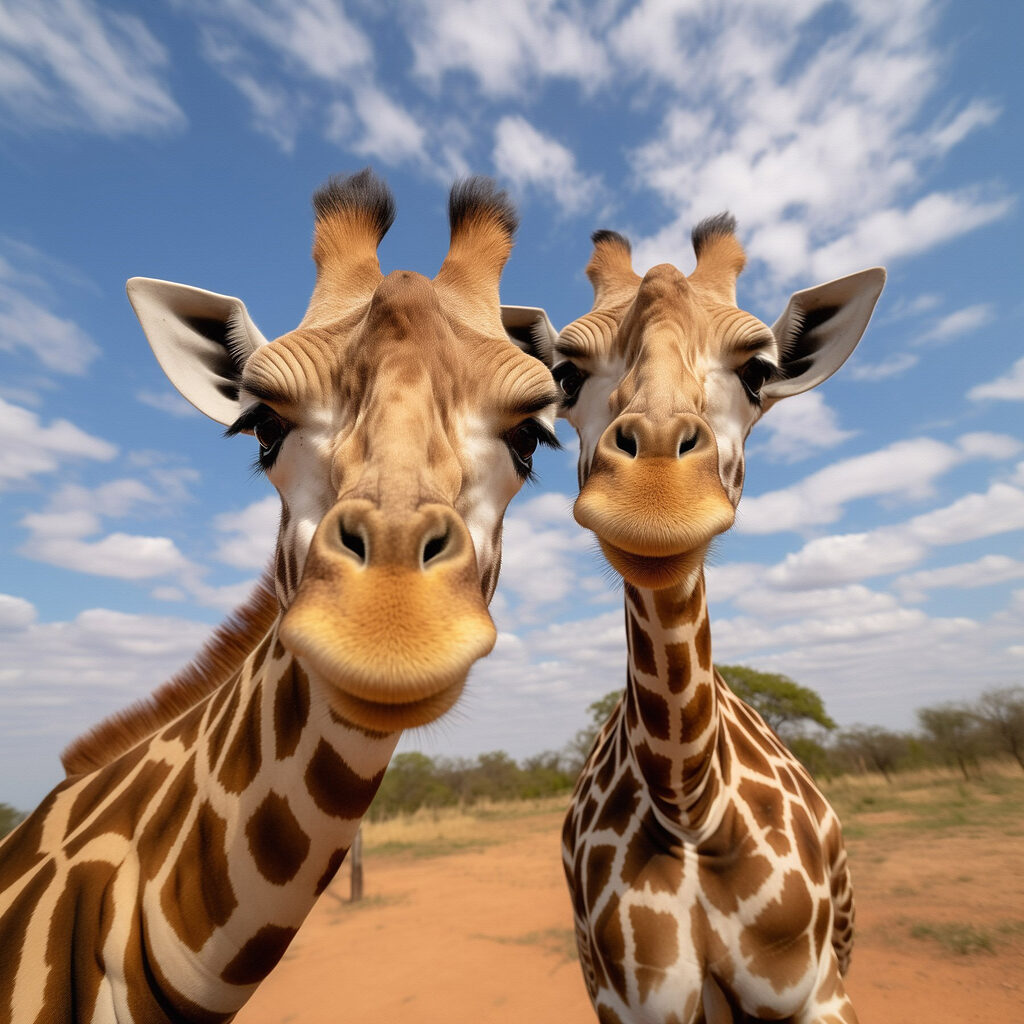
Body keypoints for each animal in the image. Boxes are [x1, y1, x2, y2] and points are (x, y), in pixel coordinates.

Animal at [555, 219, 885, 1024]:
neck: (691, 803)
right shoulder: (628, 1003)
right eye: (566, 374)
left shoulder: (817, 991)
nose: (654, 499)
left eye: (759, 370)